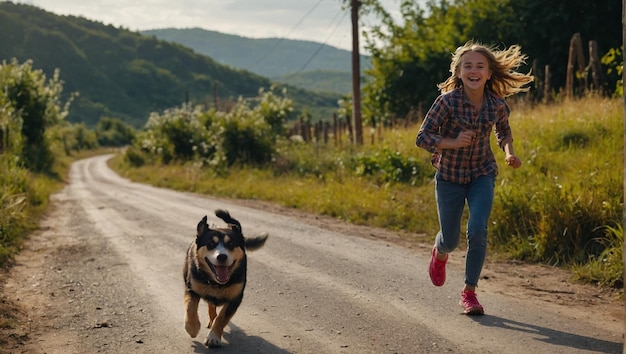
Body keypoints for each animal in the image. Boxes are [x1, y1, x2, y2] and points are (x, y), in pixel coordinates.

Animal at [182, 209, 266, 348]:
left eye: (231, 244)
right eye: (210, 244)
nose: (222, 256)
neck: (217, 283)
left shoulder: (235, 298)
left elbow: (222, 317)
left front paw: (213, 337)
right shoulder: (192, 288)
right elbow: (190, 307)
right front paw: (192, 328)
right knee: (210, 305)